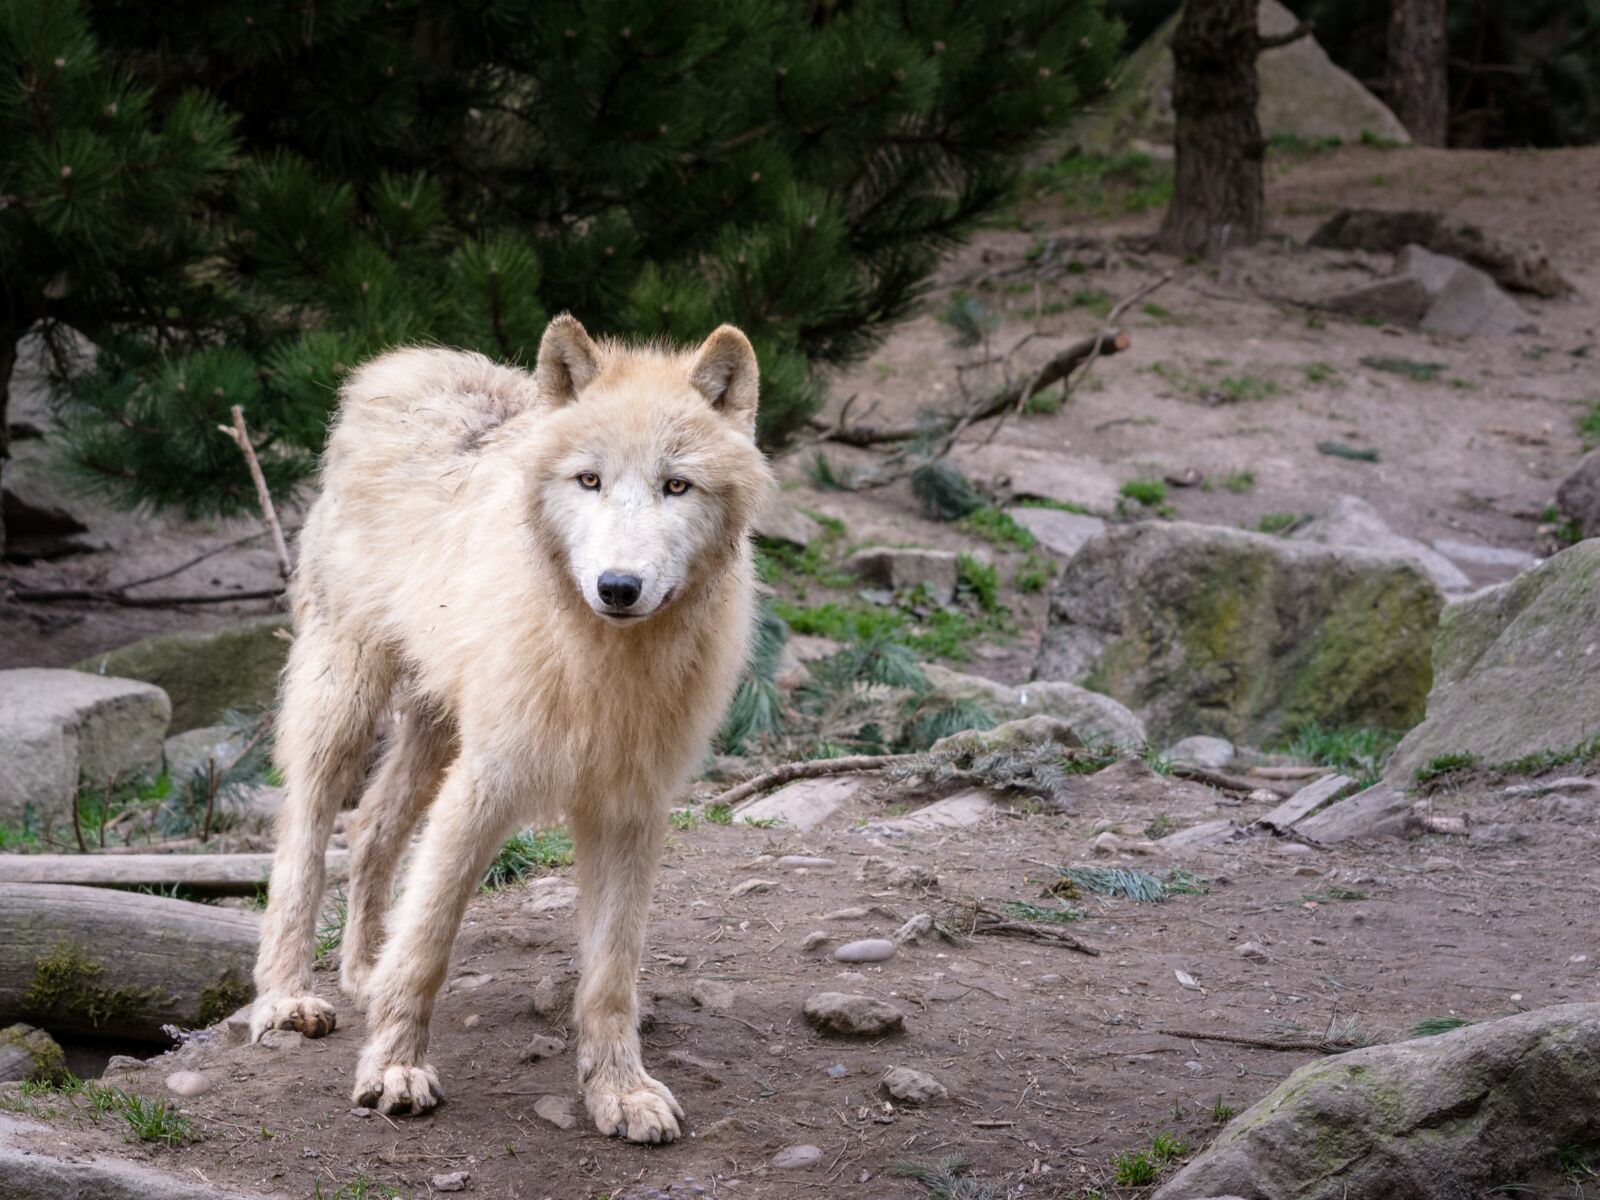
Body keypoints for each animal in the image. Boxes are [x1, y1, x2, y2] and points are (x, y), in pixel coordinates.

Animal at [249, 316, 772, 1143]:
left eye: (676, 485)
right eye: (589, 480)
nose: (618, 587)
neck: (605, 663)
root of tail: (406, 364)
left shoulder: (630, 809)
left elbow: (611, 974)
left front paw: (619, 1091)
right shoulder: (484, 783)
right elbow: (429, 940)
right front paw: (394, 1071)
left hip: (434, 730)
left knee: (371, 826)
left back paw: (362, 971)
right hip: (346, 699)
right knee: (303, 835)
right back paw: (285, 996)